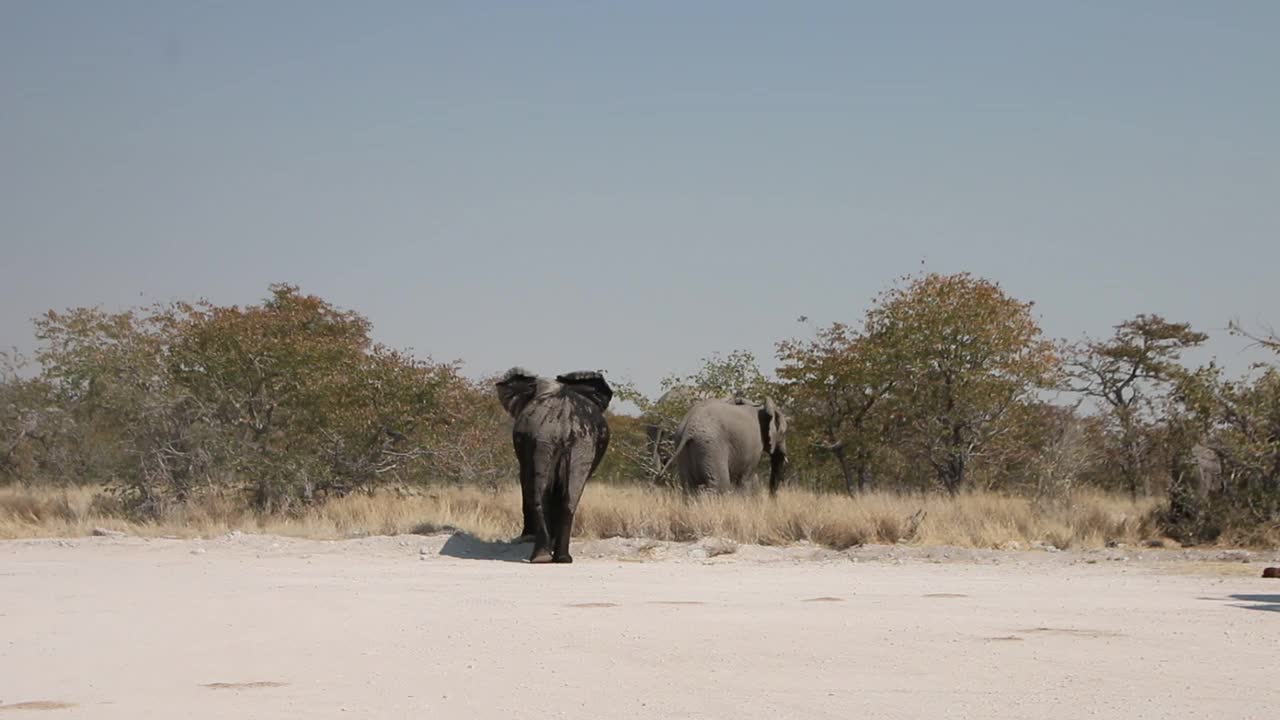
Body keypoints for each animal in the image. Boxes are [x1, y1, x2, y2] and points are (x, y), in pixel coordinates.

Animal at [491, 366, 611, 563]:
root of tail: (563, 420)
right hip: (573, 443)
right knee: (565, 497)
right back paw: (556, 558)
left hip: (568, 442)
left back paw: (547, 557)